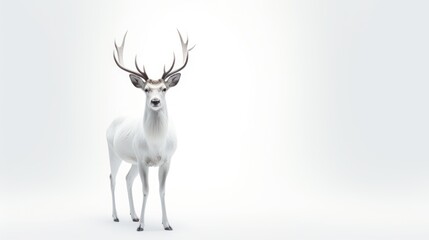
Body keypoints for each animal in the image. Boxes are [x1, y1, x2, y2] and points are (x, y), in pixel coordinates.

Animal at [106, 31, 193, 232]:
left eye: (164, 88)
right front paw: (142, 226)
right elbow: (146, 190)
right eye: (146, 89)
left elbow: (162, 190)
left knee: (128, 178)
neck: (156, 143)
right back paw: (115, 216)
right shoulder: (143, 161)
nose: (155, 101)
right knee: (113, 177)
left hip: (132, 161)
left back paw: (134, 215)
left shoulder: (166, 160)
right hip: (114, 153)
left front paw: (167, 224)